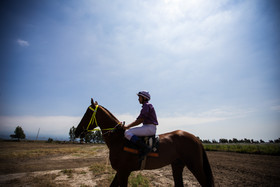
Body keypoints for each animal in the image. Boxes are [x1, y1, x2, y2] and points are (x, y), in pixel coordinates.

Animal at [74, 98, 214, 186]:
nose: (76, 131)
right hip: (177, 165)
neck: (119, 140)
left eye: (87, 113)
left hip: (195, 166)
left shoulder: (124, 172)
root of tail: (196, 138)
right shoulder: (120, 172)